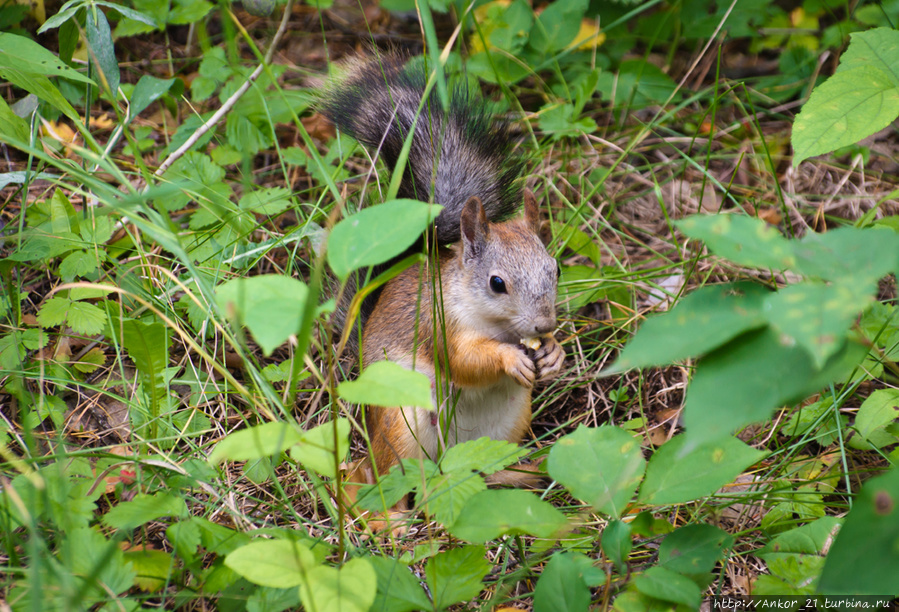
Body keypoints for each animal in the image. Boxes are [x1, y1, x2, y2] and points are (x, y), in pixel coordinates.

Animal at [320, 51, 568, 512]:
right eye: (496, 283)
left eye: (556, 270)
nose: (545, 325)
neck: (498, 326)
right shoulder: (440, 323)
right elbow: (464, 360)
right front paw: (509, 359)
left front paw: (554, 354)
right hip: (401, 420)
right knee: (385, 478)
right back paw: (390, 518)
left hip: (509, 421)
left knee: (483, 468)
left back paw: (519, 473)